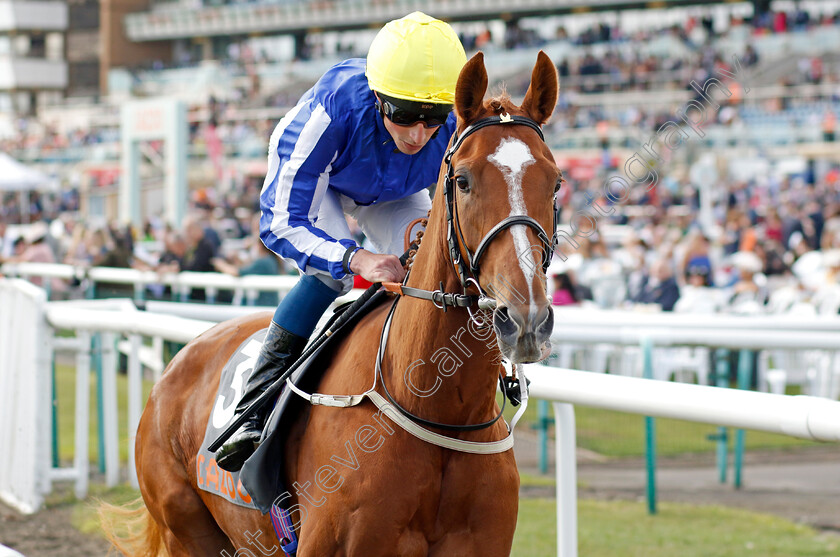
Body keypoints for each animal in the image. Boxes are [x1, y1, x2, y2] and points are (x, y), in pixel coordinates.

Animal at [111, 50, 556, 552]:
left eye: (556, 182)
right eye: (462, 180)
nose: (525, 318)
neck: (439, 411)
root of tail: (179, 360)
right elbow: (288, 224)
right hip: (186, 528)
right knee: (320, 266)